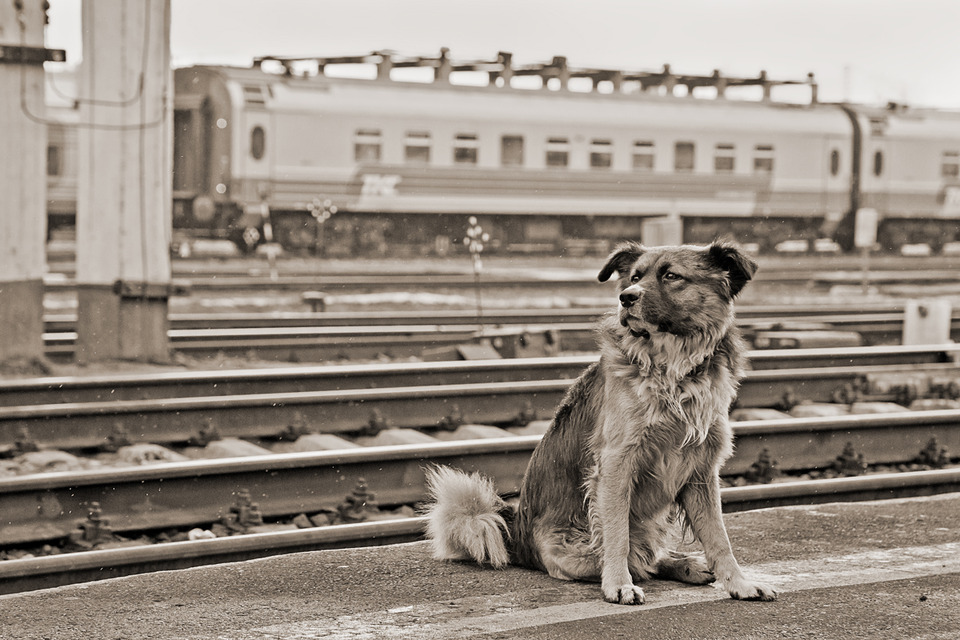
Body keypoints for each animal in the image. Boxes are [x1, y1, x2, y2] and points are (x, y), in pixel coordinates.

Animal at [424, 240, 776, 604]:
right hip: (567, 550)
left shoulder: (702, 469)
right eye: (634, 277)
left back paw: (686, 564)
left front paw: (739, 583)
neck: (673, 368)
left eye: (671, 276)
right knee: (633, 558)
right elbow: (616, 535)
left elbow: (719, 537)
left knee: (648, 556)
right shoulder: (617, 463)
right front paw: (618, 584)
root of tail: (516, 535)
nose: (626, 297)